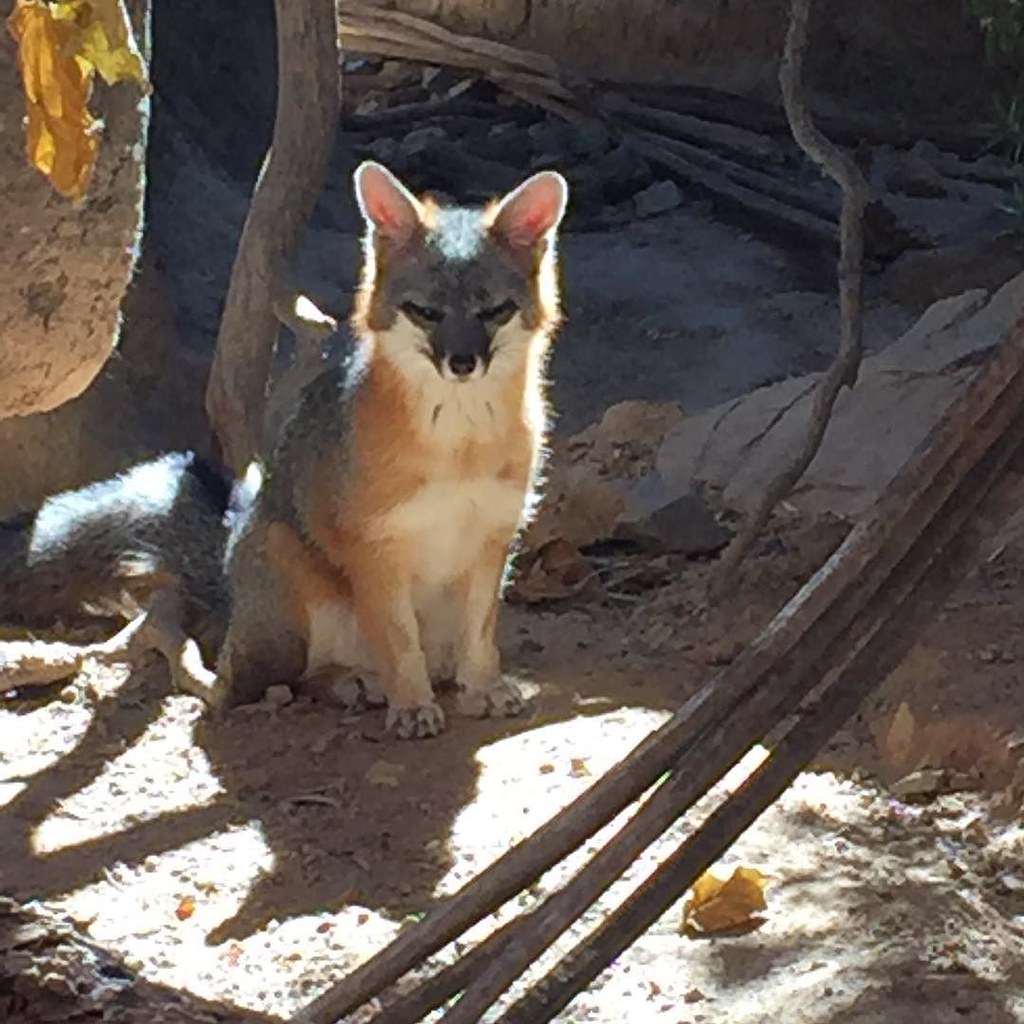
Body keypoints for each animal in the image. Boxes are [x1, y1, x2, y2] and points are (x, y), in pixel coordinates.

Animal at [0, 162, 570, 741]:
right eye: (425, 312)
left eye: (493, 311)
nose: (462, 362)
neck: (458, 449)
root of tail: (229, 575)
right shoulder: (377, 548)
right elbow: (399, 642)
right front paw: (410, 704)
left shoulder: (493, 537)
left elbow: (481, 636)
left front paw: (483, 688)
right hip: (284, 574)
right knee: (253, 684)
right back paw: (352, 683)